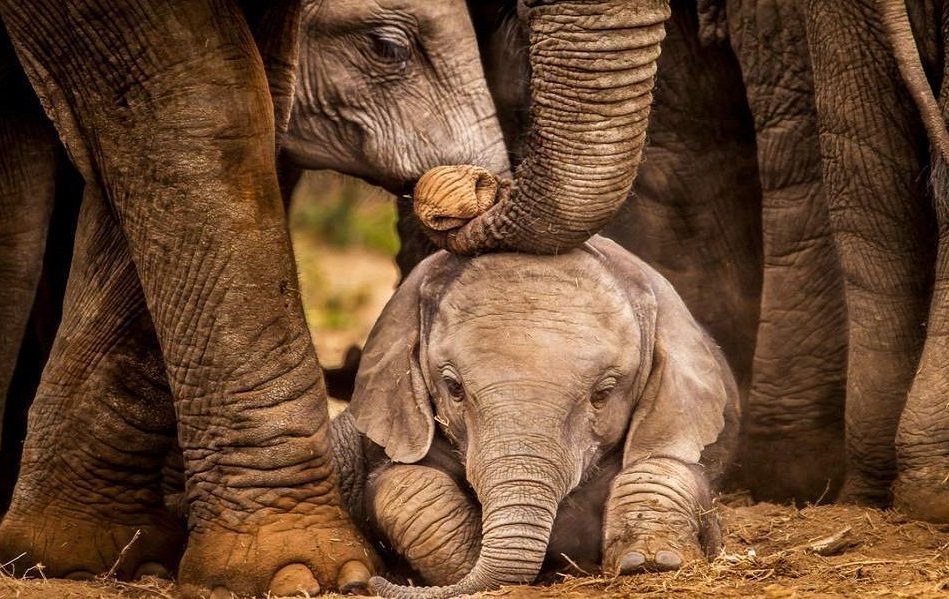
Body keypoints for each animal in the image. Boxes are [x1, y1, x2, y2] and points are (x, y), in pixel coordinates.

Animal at [334, 237, 740, 596]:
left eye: (603, 393)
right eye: (453, 387)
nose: (369, 586)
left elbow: (664, 466)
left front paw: (650, 562)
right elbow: (405, 482)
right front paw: (465, 561)